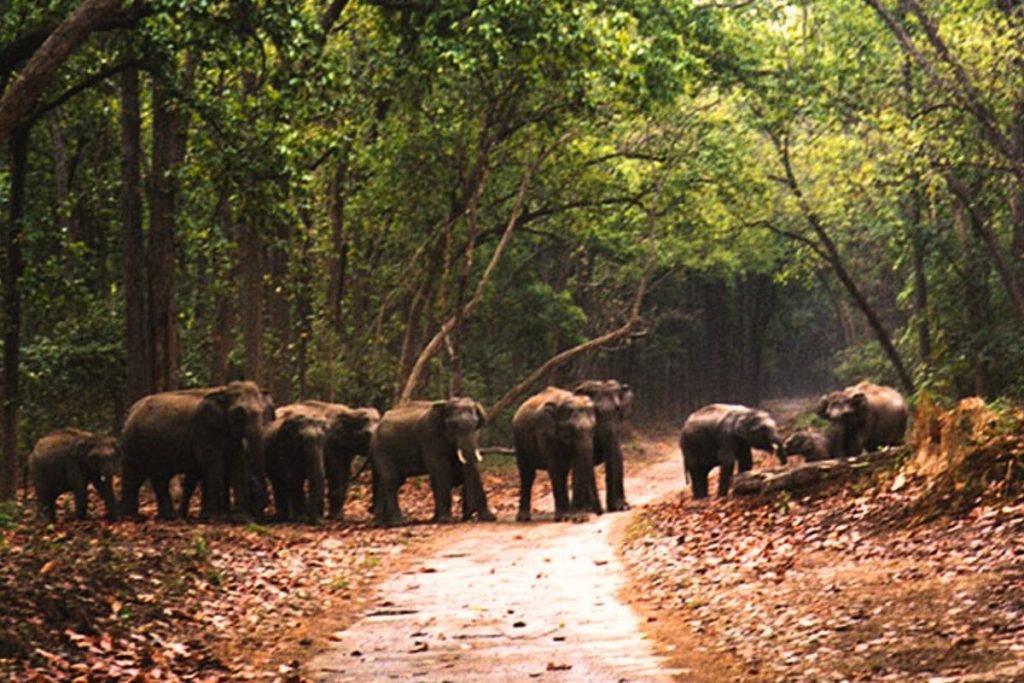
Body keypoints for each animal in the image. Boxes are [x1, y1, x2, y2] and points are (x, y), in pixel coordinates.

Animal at [120, 381, 275, 522]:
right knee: (133, 476)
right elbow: (214, 466)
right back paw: (133, 518)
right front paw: (218, 518)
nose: (261, 509)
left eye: (263, 411)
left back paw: (169, 517)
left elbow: (237, 465)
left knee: (160, 478)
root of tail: (131, 410)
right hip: (132, 443)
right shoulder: (204, 429)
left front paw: (243, 519)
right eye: (239, 413)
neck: (223, 390)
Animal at [371, 397, 494, 527]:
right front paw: (446, 520)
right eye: (452, 425)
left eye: (475, 424)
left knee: (390, 480)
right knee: (391, 479)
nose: (467, 517)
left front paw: (489, 517)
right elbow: (441, 470)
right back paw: (397, 523)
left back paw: (380, 523)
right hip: (381, 449)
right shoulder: (430, 436)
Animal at [513, 386, 602, 522]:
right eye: (571, 429)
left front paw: (579, 517)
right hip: (519, 440)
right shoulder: (545, 432)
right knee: (527, 474)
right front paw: (564, 517)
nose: (598, 512)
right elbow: (555, 467)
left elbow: (576, 466)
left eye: (593, 428)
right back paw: (523, 518)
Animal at [571, 379, 633, 512]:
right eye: (595, 412)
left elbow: (617, 457)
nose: (609, 509)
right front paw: (591, 508)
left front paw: (622, 506)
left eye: (617, 410)